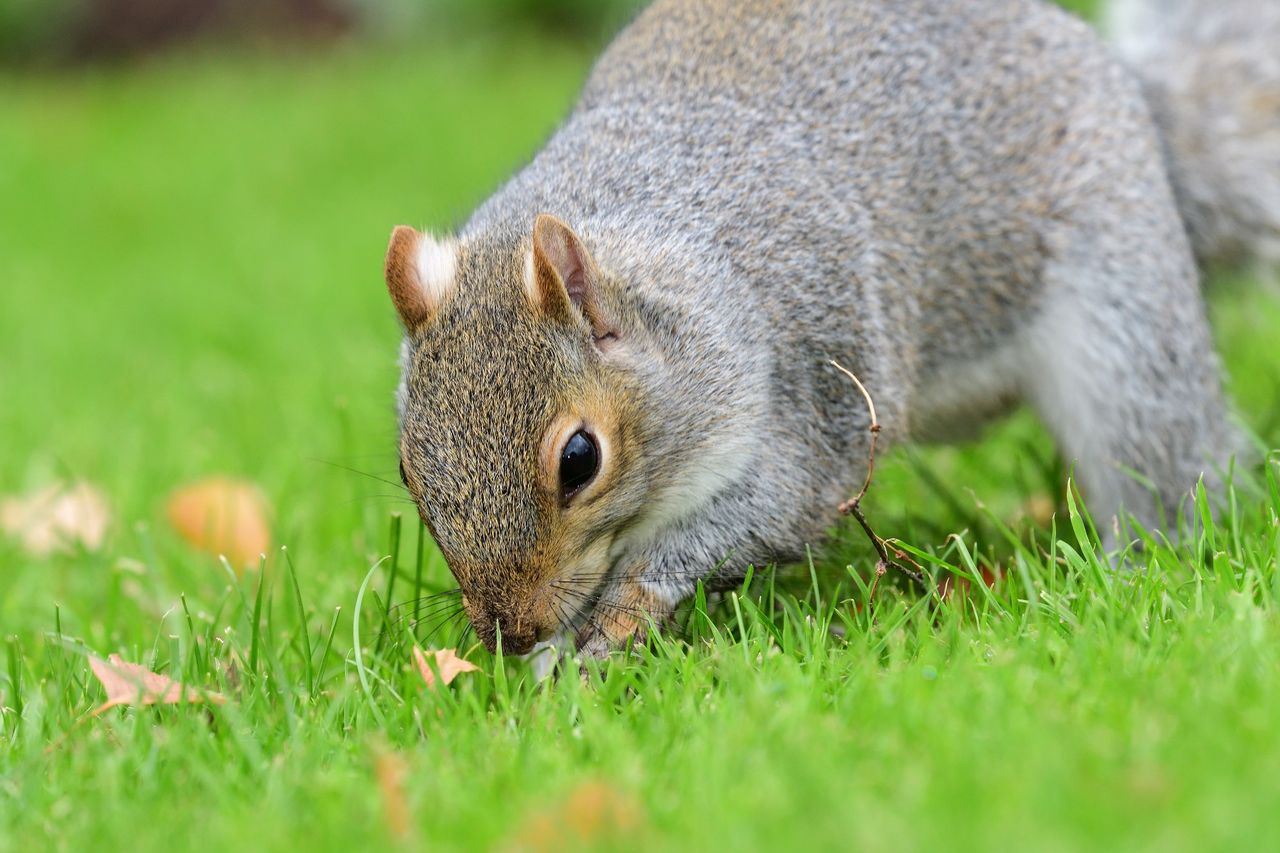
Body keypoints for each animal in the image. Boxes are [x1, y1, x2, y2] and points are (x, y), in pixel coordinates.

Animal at [381, 0, 1280, 655]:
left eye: (580, 459)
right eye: (407, 470)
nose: (508, 630)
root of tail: (1136, 94)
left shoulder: (811, 383)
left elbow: (764, 511)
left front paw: (620, 616)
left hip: (1123, 321)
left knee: (1169, 457)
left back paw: (1144, 569)